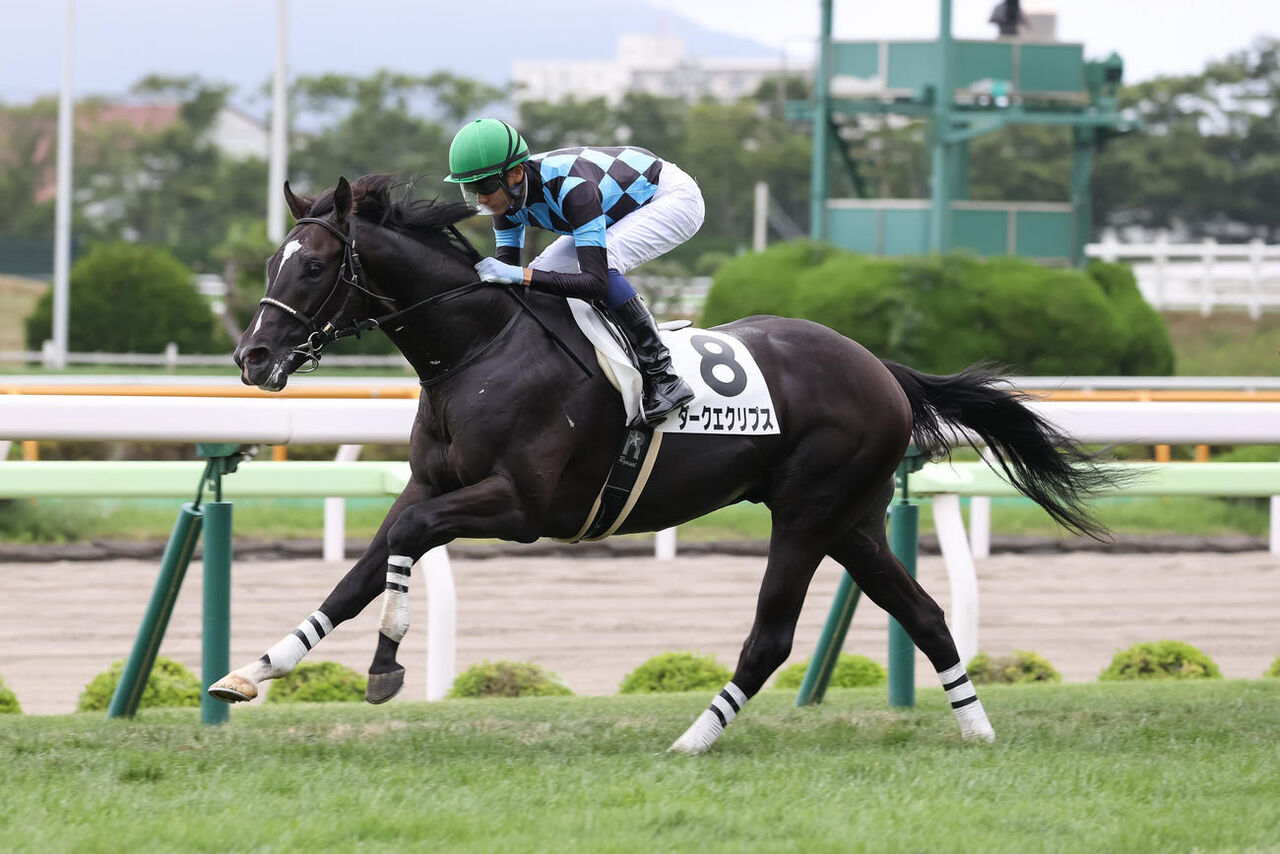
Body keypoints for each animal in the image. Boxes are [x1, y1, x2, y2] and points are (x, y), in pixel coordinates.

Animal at [213, 174, 1115, 753]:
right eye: (270, 263)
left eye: (316, 265)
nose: (253, 357)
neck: (478, 349)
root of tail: (882, 370)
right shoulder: (433, 483)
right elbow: (361, 570)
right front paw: (253, 670)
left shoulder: (523, 507)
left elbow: (407, 543)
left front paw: (387, 665)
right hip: (852, 518)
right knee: (924, 614)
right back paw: (977, 729)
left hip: (808, 511)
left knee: (771, 638)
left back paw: (691, 740)